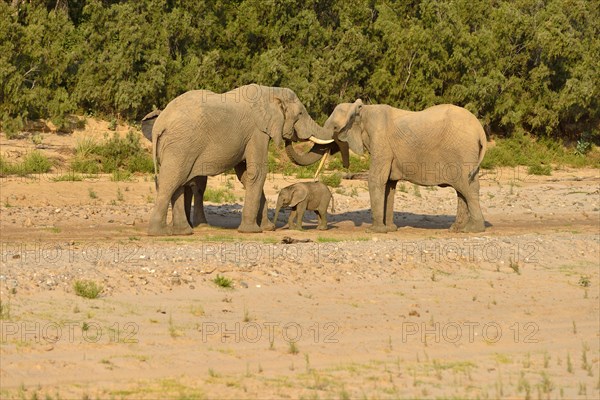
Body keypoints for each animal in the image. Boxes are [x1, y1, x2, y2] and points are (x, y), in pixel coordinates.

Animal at [146, 84, 342, 234]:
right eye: (300, 114)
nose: (288, 137)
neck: (270, 91)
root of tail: (159, 126)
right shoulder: (257, 131)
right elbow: (258, 172)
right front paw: (252, 231)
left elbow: (246, 175)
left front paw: (266, 228)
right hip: (181, 144)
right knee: (171, 181)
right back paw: (159, 233)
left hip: (174, 146)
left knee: (178, 182)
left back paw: (183, 232)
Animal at [324, 100, 488, 233]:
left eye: (335, 127)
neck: (364, 110)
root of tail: (480, 129)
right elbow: (389, 184)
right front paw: (390, 229)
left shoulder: (381, 140)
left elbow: (376, 179)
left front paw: (374, 231)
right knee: (462, 189)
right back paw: (456, 229)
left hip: (463, 152)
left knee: (468, 188)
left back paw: (472, 230)